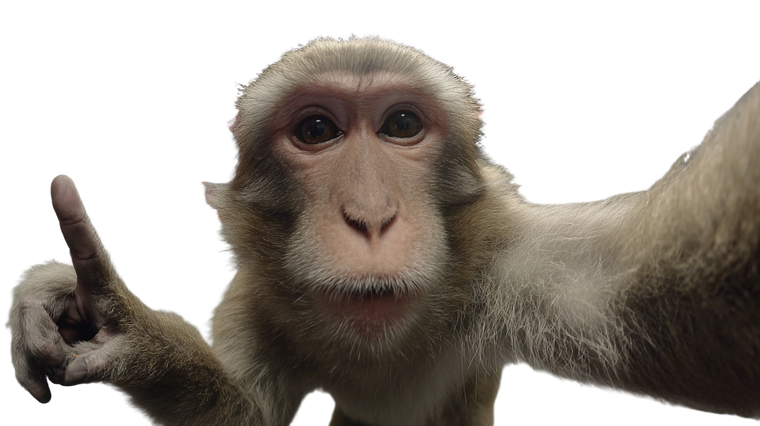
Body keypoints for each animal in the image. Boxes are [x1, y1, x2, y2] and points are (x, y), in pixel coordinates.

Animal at [3, 30, 759, 425]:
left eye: (401, 124)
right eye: (316, 131)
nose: (371, 216)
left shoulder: (512, 263)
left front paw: (114, 322)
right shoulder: (258, 304)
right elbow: (248, 414)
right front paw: (119, 331)